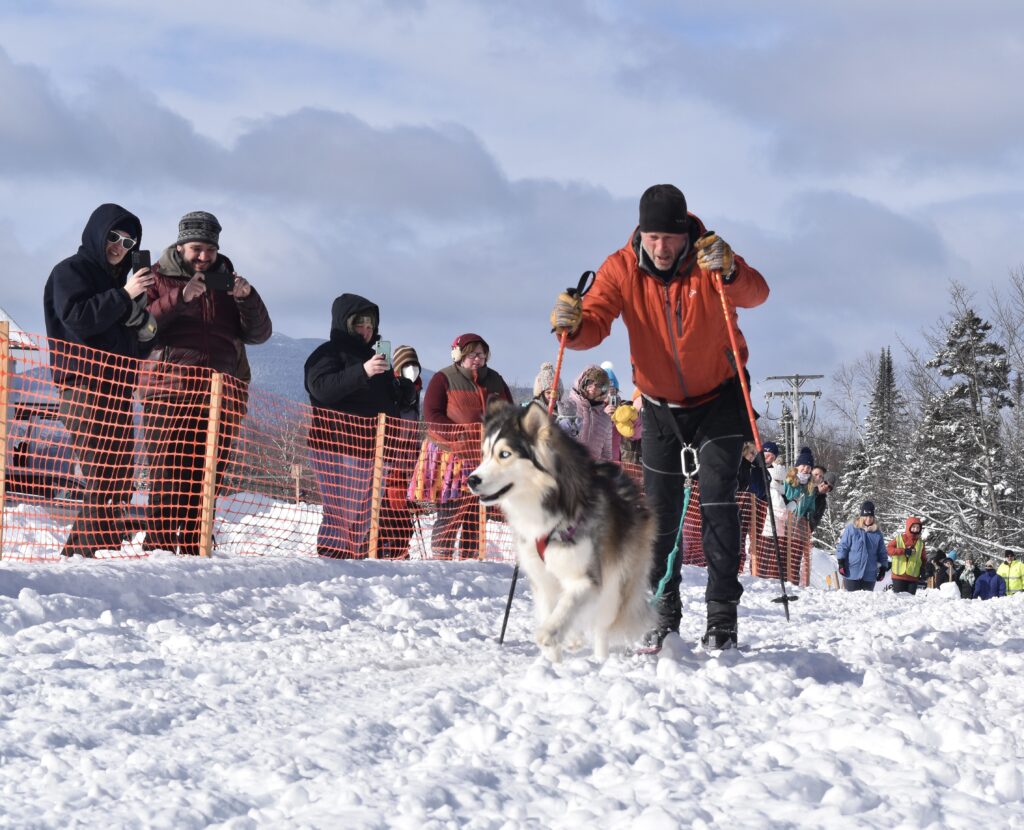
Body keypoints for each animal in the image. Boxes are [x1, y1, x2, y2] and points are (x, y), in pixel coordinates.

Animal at [466, 399, 651, 659]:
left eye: (504, 454)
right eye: (484, 454)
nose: (471, 480)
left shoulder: (587, 578)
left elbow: (567, 605)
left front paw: (550, 633)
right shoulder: (542, 580)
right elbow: (550, 609)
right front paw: (552, 659)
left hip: (616, 583)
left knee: (602, 625)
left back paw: (601, 660)